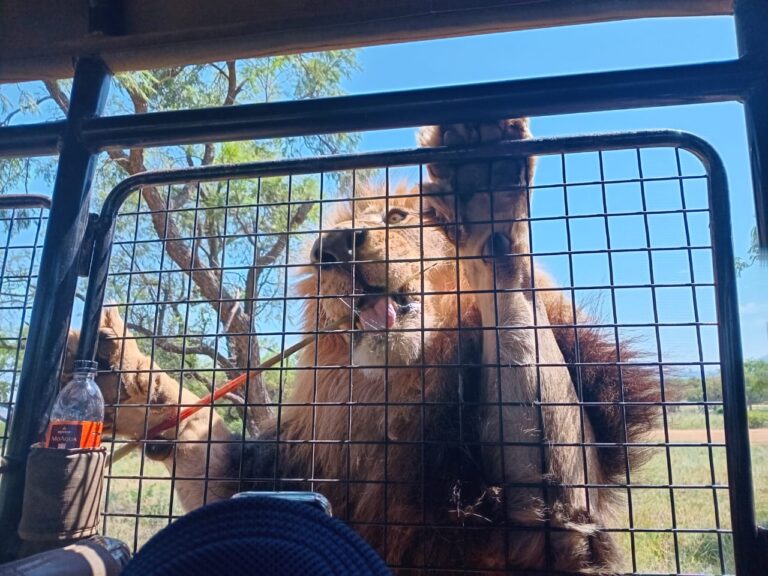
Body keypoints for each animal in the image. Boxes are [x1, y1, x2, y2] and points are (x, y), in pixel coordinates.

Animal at [65, 120, 658, 574]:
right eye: (318, 254)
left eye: (397, 218)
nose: (333, 247)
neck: (403, 394)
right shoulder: (280, 475)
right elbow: (202, 446)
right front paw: (120, 378)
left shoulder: (546, 530)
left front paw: (484, 193)